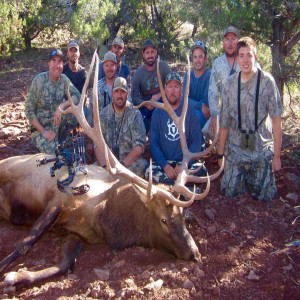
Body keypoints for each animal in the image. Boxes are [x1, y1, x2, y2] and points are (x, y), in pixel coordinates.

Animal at [0, 51, 221, 290]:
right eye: (163, 219)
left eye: (182, 216)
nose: (195, 254)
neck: (106, 218)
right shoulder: (58, 201)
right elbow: (26, 242)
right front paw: (7, 272)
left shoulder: (78, 234)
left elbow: (65, 265)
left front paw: (18, 278)